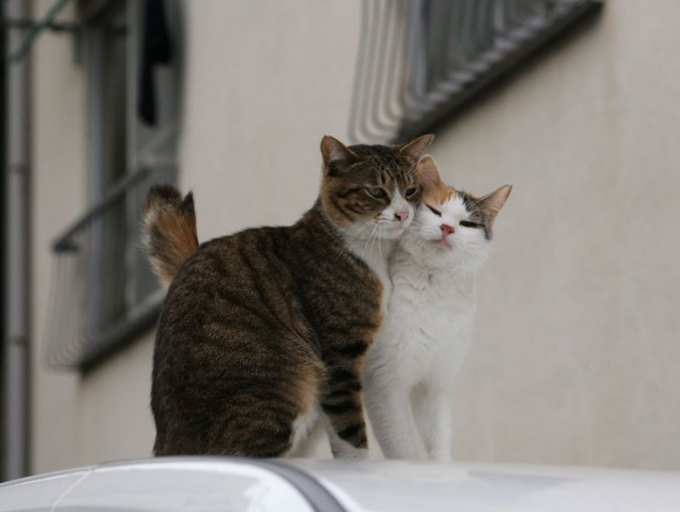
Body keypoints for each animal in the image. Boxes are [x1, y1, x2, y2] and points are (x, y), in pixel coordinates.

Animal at [141, 134, 432, 458]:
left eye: (410, 191)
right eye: (377, 191)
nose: (403, 214)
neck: (370, 252)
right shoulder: (340, 357)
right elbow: (349, 432)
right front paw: (360, 464)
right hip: (287, 391)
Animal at [364, 155, 508, 460]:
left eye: (467, 224)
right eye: (434, 210)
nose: (447, 228)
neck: (434, 288)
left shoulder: (435, 384)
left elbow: (439, 435)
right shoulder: (384, 383)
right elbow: (402, 448)